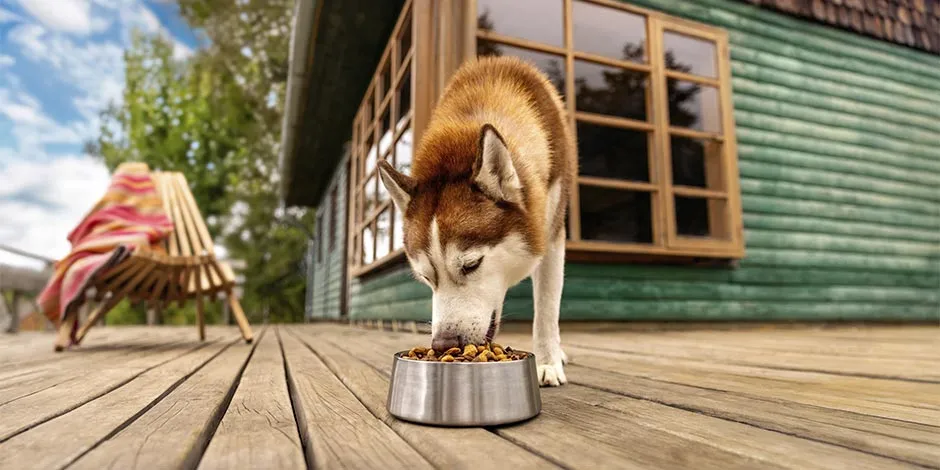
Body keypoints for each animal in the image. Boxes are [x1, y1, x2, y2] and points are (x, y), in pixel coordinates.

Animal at [378, 55, 576, 386]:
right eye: (426, 277)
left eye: (471, 265)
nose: (443, 344)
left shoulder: (550, 233)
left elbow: (547, 308)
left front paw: (547, 362)